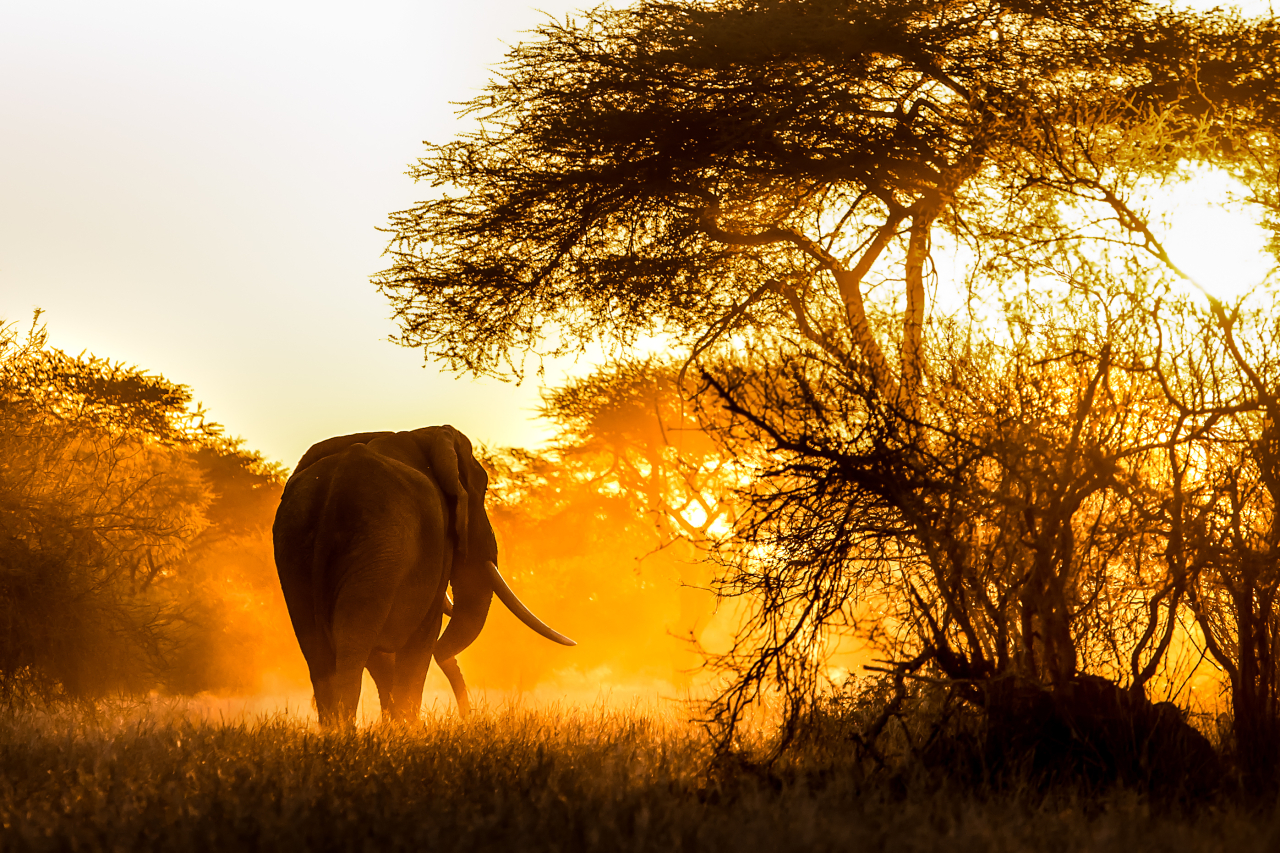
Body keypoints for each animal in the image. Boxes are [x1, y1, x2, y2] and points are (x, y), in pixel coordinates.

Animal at [272, 425, 574, 725]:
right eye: (484, 489)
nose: (468, 718)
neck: (422, 434)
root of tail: (333, 487)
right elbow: (424, 632)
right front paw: (408, 729)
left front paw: (395, 727)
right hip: (377, 547)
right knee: (354, 642)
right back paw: (346, 732)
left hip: (297, 547)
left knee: (317, 650)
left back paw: (335, 731)